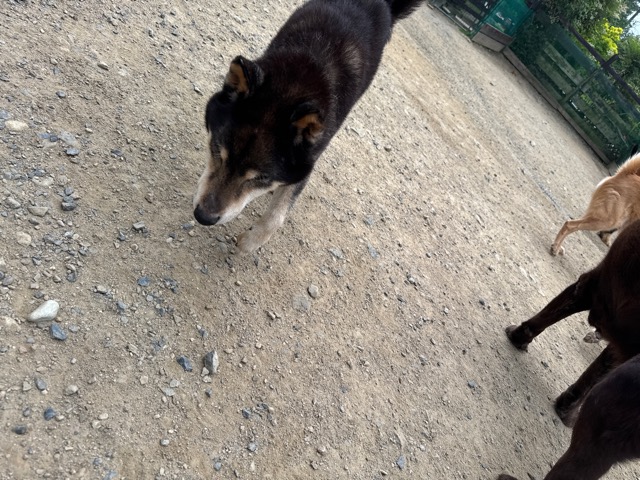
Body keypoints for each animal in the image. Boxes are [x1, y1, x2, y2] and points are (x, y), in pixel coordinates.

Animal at [193, 0, 424, 252]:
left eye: (262, 178)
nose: (203, 217)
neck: (294, 87)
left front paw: (251, 242)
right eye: (216, 150)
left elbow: (277, 216)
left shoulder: (307, 159)